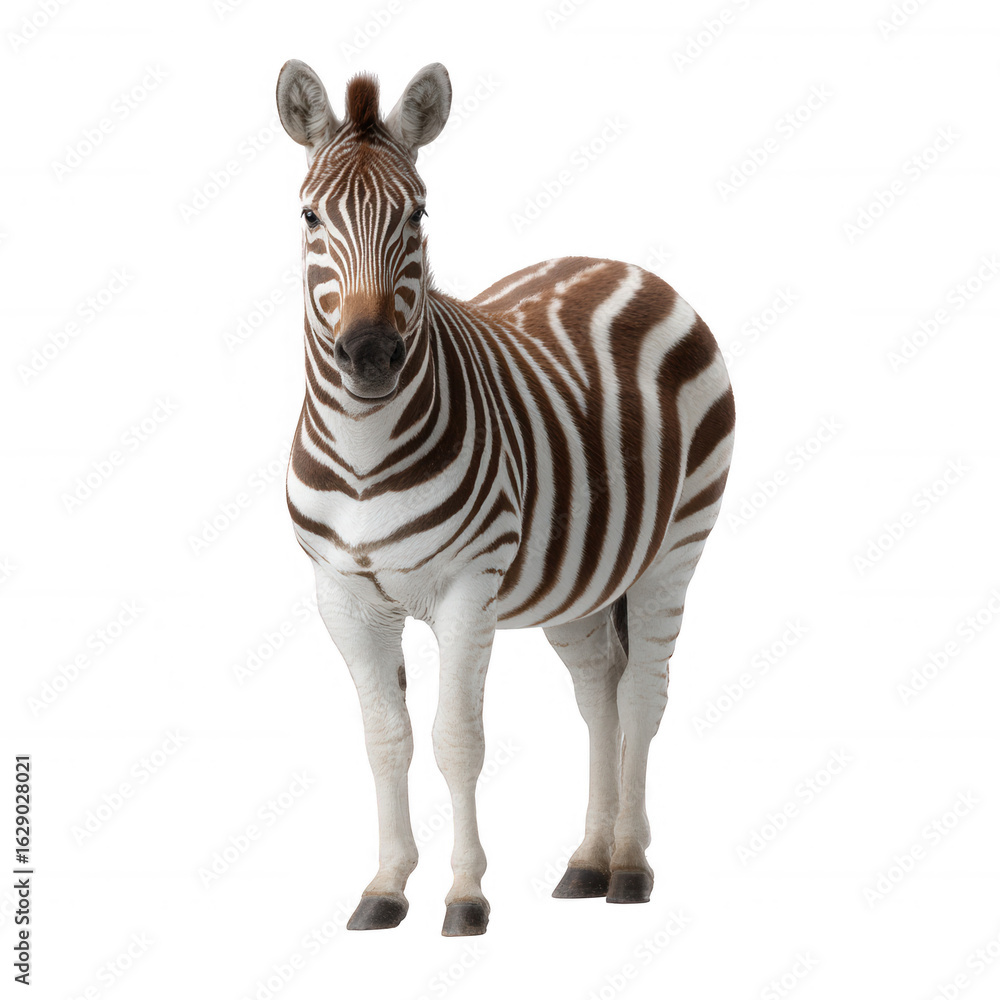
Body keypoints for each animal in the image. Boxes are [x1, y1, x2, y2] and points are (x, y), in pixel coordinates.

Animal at [275, 59, 735, 937]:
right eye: (311, 216)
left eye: (417, 214)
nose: (370, 355)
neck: (363, 455)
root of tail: (624, 265)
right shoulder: (341, 595)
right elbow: (386, 739)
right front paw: (386, 887)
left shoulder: (467, 587)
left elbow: (457, 739)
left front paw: (465, 897)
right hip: (582, 574)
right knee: (600, 693)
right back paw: (588, 862)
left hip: (677, 547)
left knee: (643, 694)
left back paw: (630, 867)